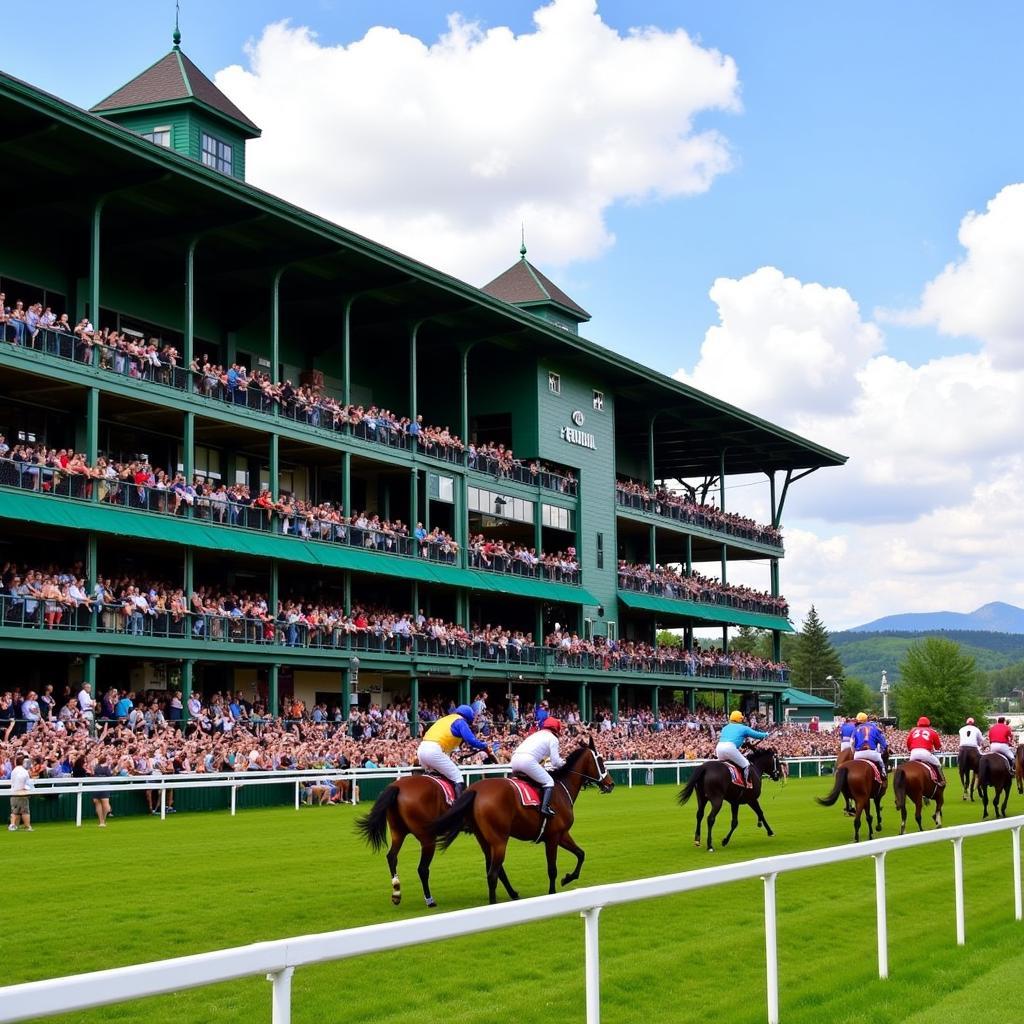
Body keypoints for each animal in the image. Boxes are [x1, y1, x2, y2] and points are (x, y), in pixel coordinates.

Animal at [428, 737, 610, 905]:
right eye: (600, 761)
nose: (611, 783)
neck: (561, 788)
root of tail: (475, 790)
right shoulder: (553, 837)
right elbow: (552, 869)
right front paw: (553, 892)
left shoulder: (562, 834)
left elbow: (581, 854)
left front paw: (568, 878)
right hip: (500, 840)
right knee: (493, 873)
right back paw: (495, 902)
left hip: (484, 840)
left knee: (495, 870)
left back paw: (512, 894)